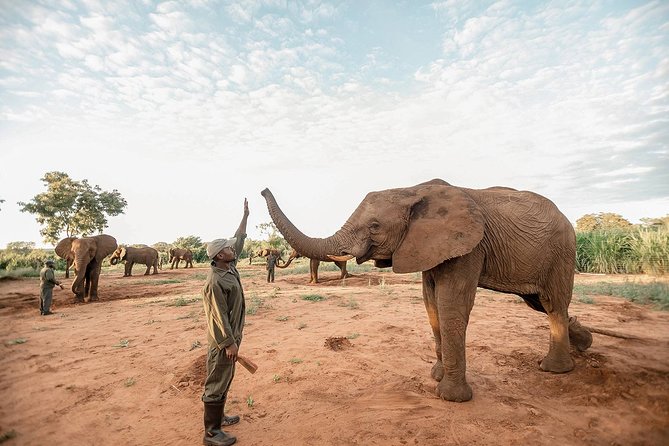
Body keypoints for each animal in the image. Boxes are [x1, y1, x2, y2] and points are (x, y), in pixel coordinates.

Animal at [261, 179, 593, 402]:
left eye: (374, 226)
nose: (262, 189)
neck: (413, 189)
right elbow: (430, 303)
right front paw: (436, 375)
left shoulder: (467, 246)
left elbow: (450, 304)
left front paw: (451, 397)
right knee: (540, 303)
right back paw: (584, 344)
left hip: (561, 251)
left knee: (552, 304)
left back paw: (554, 369)